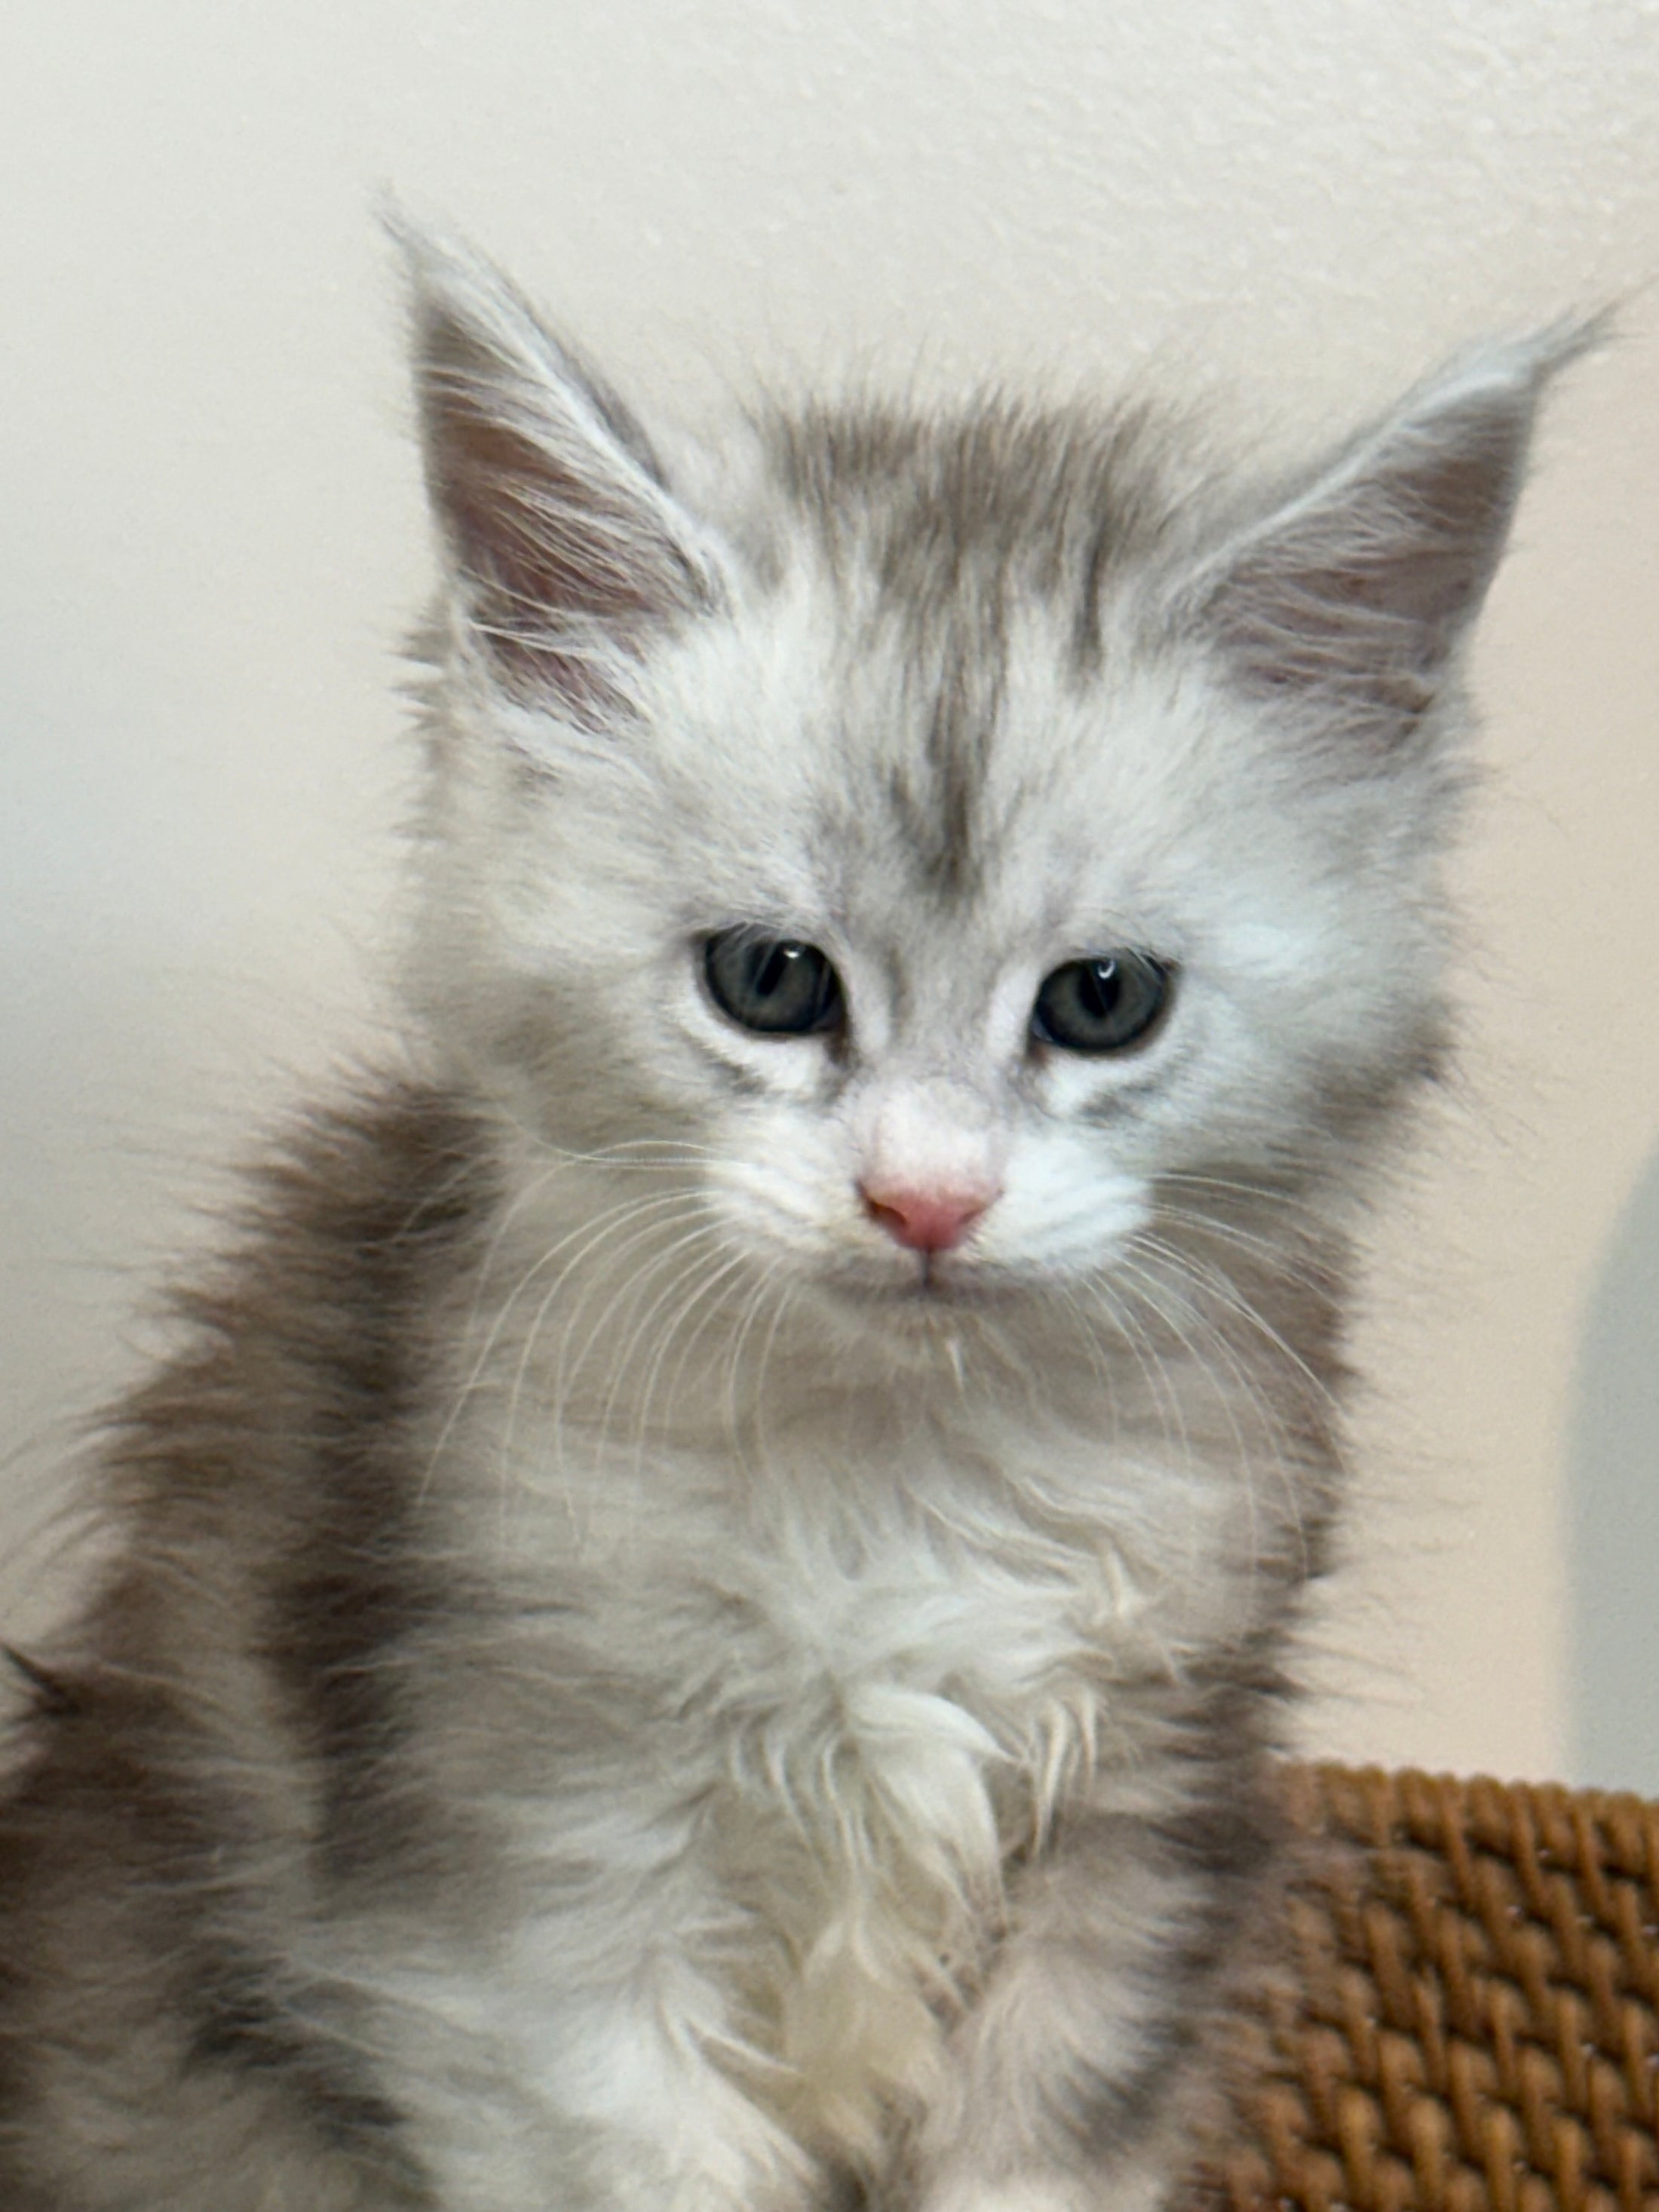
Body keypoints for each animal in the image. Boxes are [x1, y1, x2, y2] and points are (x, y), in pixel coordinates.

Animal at [0, 242, 1584, 2212]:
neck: (900, 1478)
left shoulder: (1140, 1837)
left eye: (1103, 1003)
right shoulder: (518, 1887)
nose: (925, 1196)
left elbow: (1040, 2160)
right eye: (768, 981)